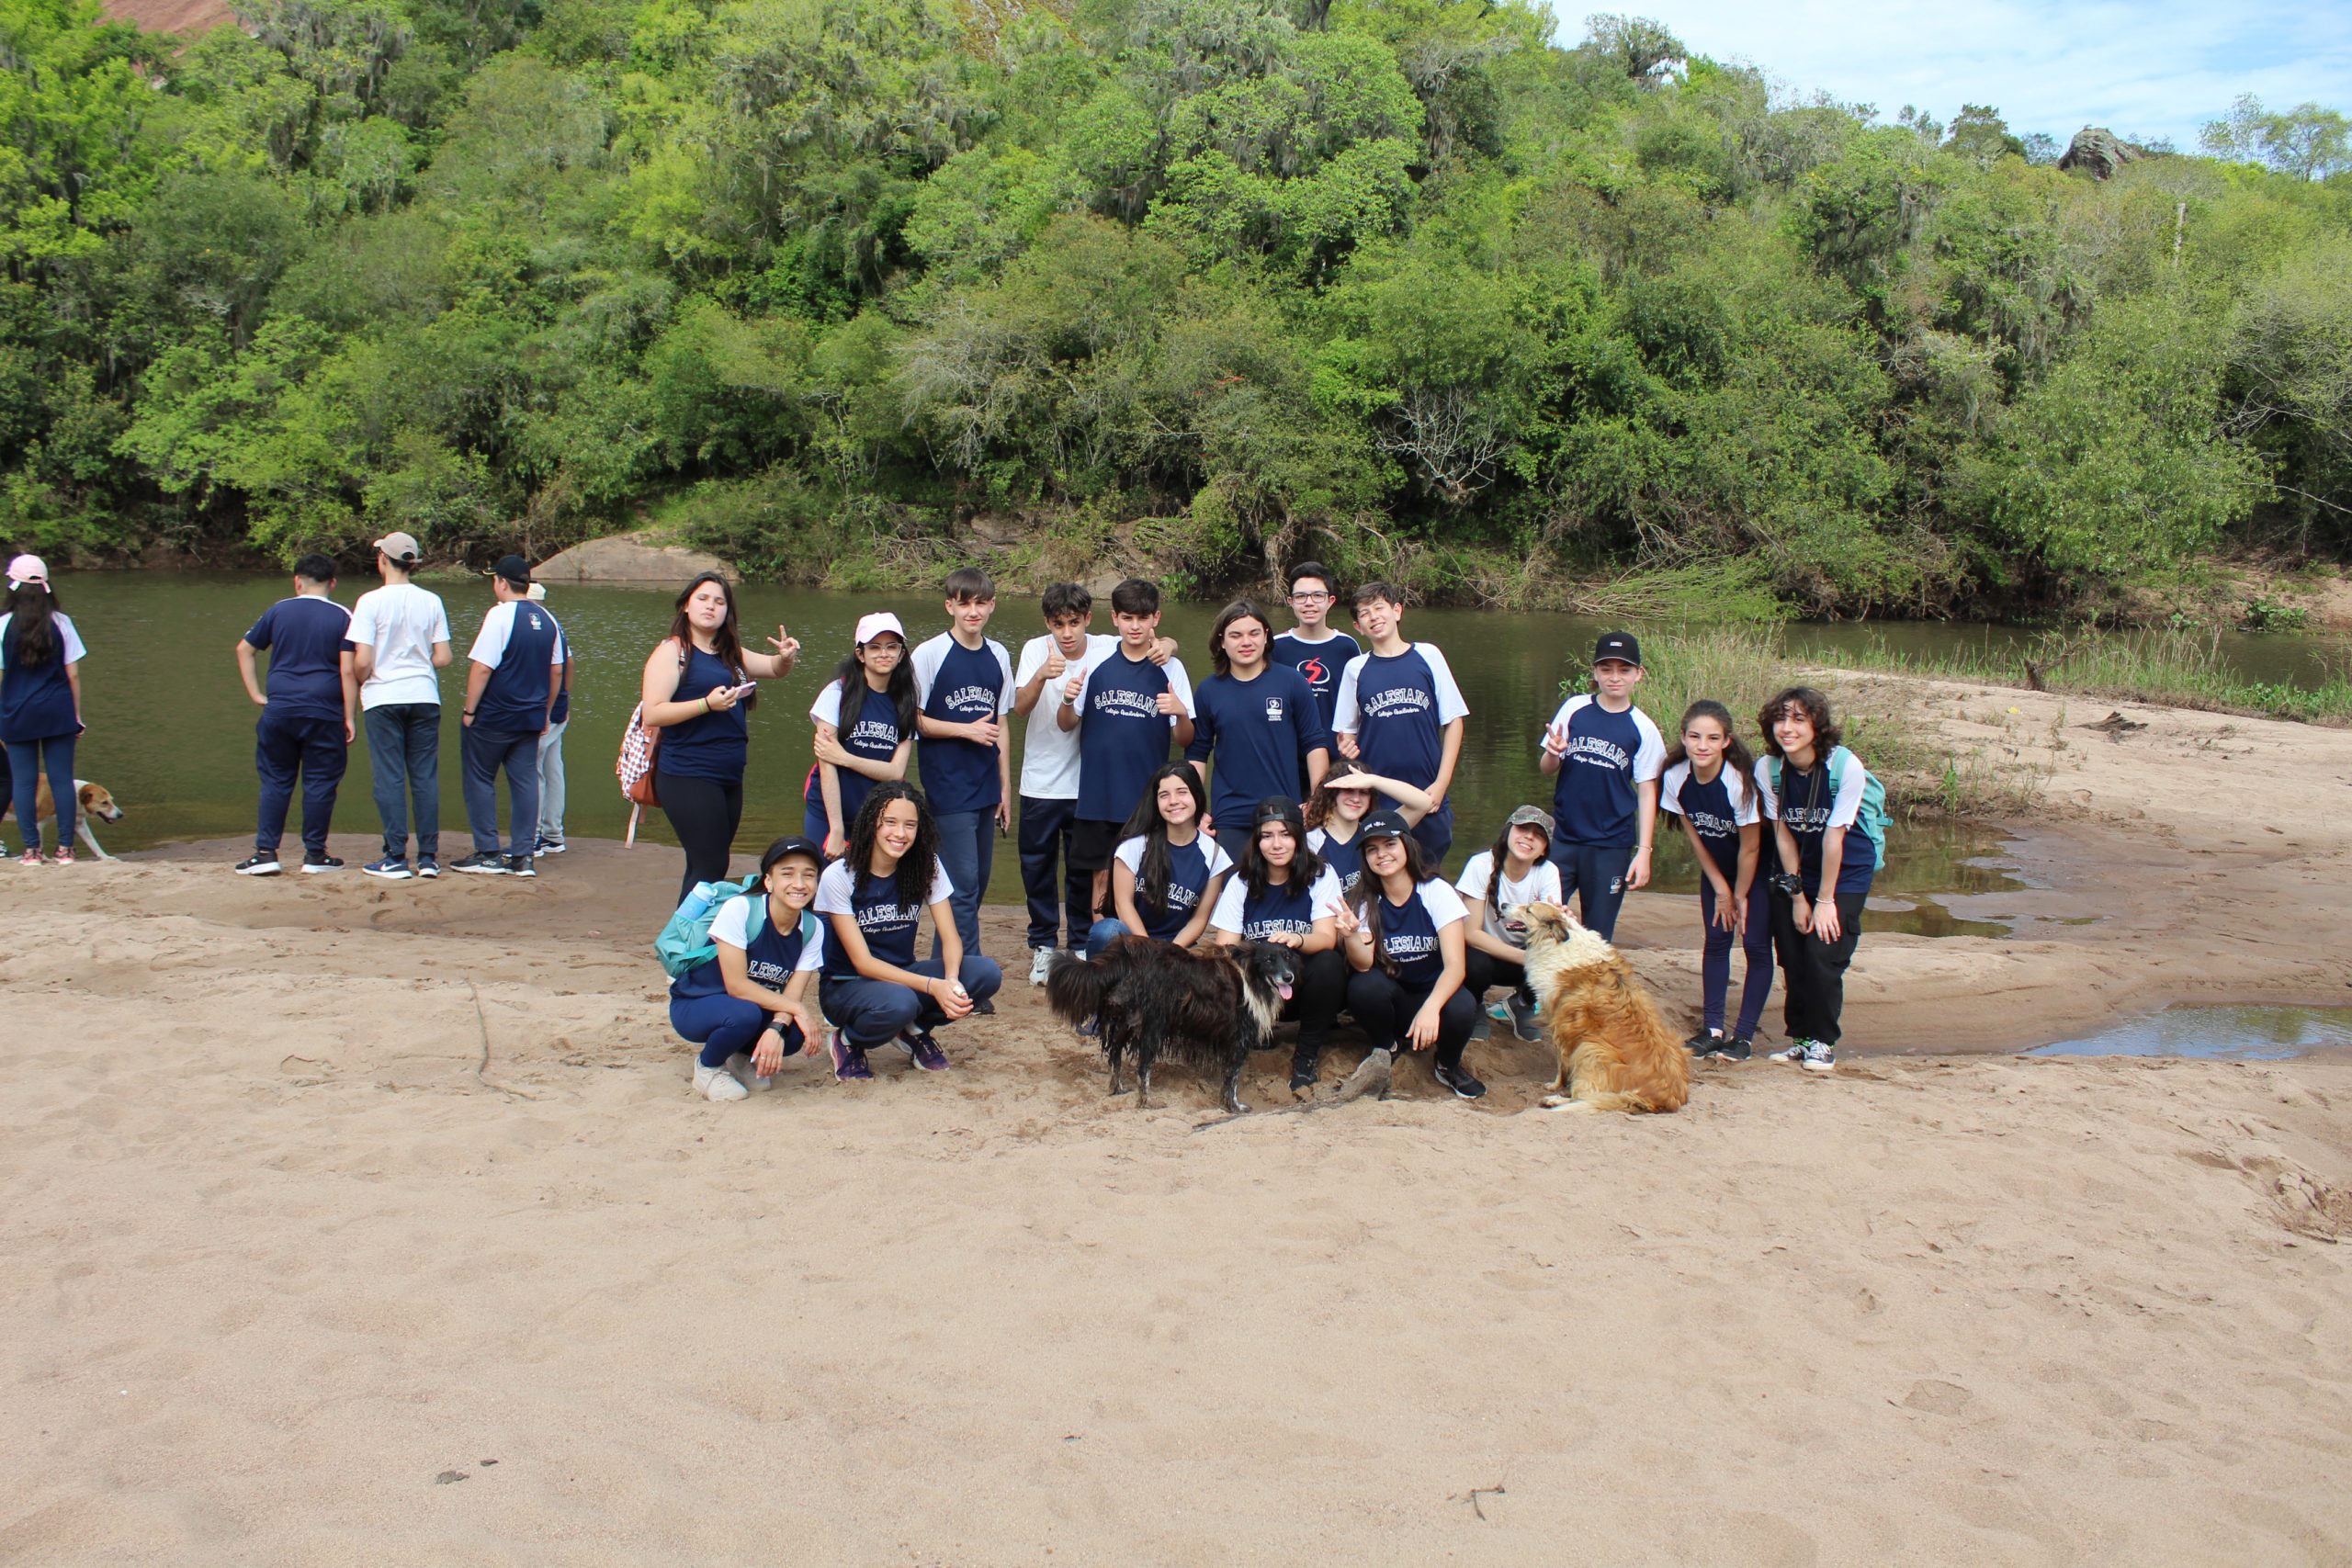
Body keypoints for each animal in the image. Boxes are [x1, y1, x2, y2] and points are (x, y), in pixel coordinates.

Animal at [1053, 931, 1307, 1114]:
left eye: (1287, 958)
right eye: (1269, 960)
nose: (1288, 977)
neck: (1251, 975)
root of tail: (1124, 955)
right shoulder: (1239, 1039)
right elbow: (1232, 1078)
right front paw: (1234, 1107)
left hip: (1123, 1021)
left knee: (1115, 1057)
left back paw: (1118, 1090)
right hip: (1152, 1025)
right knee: (1142, 1068)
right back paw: (1147, 1102)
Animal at [1505, 902, 1693, 1109]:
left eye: (1528, 909)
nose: (1503, 904)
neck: (1556, 940)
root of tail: (1668, 1098)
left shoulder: (1561, 1024)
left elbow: (1562, 1064)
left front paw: (1555, 1086)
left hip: (1590, 1048)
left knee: (1584, 1096)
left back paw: (1554, 1100)